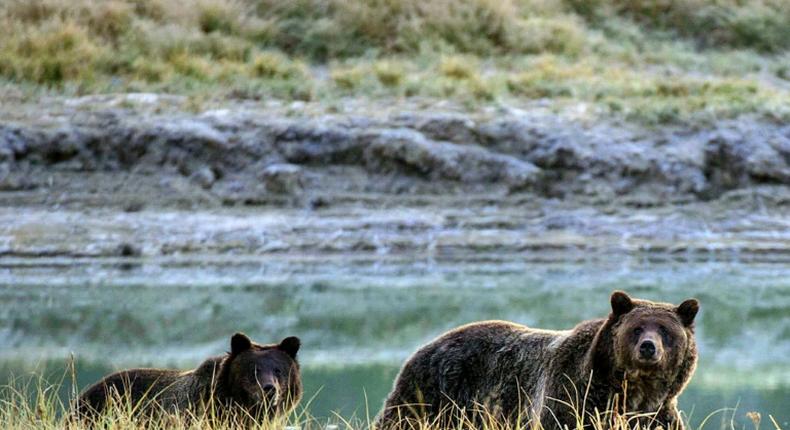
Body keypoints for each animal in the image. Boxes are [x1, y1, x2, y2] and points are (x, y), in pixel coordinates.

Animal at [380, 290, 704, 428]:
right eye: (637, 328)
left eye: (664, 330)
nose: (648, 347)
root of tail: (427, 345)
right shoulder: (571, 397)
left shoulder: (657, 414)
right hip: (433, 393)